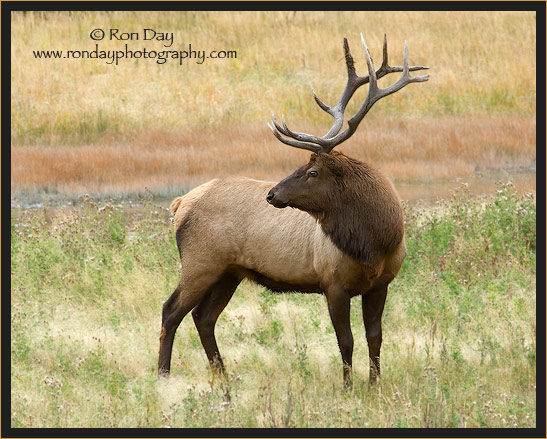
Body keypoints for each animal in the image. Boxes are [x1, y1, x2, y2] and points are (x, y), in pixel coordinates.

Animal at [158, 36, 428, 390]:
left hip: (229, 272)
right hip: (200, 261)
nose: (272, 194)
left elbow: (375, 337)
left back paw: (224, 380)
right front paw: (348, 388)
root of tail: (178, 204)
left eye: (312, 172)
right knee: (171, 310)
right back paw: (162, 376)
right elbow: (347, 341)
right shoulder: (333, 282)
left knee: (203, 317)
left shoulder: (380, 284)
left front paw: (374, 385)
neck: (377, 243)